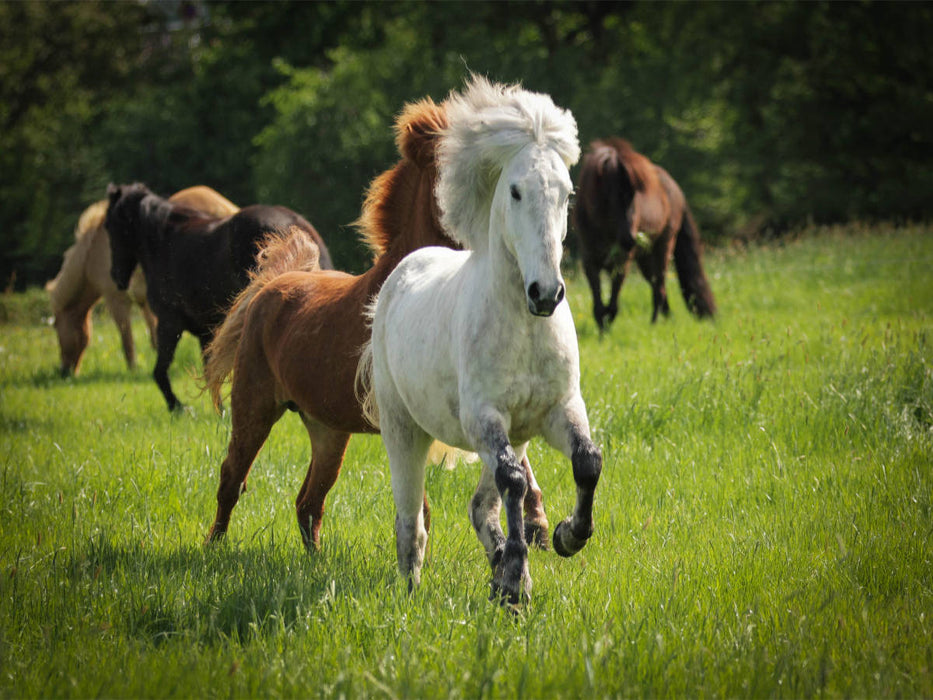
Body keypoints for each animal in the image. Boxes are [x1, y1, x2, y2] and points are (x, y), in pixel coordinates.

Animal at [46, 186, 239, 377]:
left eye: (56, 328)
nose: (64, 371)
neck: (91, 255)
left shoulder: (116, 299)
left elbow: (126, 337)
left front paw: (133, 368)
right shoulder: (146, 302)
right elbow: (153, 333)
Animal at [106, 183, 333, 412]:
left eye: (109, 226)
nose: (116, 277)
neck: (164, 242)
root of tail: (297, 223)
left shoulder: (169, 322)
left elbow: (160, 370)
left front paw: (177, 406)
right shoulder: (206, 331)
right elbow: (211, 371)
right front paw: (219, 410)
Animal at [202, 97, 552, 553]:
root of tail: (270, 286)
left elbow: (515, 460)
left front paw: (540, 525)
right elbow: (422, 501)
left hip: (328, 429)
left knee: (308, 501)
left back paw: (316, 562)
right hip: (255, 406)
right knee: (233, 478)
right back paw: (213, 548)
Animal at [358, 77, 602, 606]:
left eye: (567, 194)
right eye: (515, 191)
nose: (545, 293)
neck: (524, 329)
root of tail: (403, 270)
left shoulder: (559, 409)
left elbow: (586, 462)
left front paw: (564, 538)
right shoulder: (483, 417)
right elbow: (514, 482)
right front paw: (513, 586)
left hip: (518, 432)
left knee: (481, 504)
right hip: (403, 428)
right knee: (411, 521)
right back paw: (413, 589)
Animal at [573, 137, 717, 328]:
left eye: (634, 197)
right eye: (613, 196)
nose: (630, 240)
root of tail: (676, 189)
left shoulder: (622, 262)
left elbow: (612, 305)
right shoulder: (590, 262)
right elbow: (598, 307)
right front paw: (602, 331)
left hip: (663, 248)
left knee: (659, 289)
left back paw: (654, 325)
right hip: (645, 259)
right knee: (658, 288)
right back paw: (666, 320)